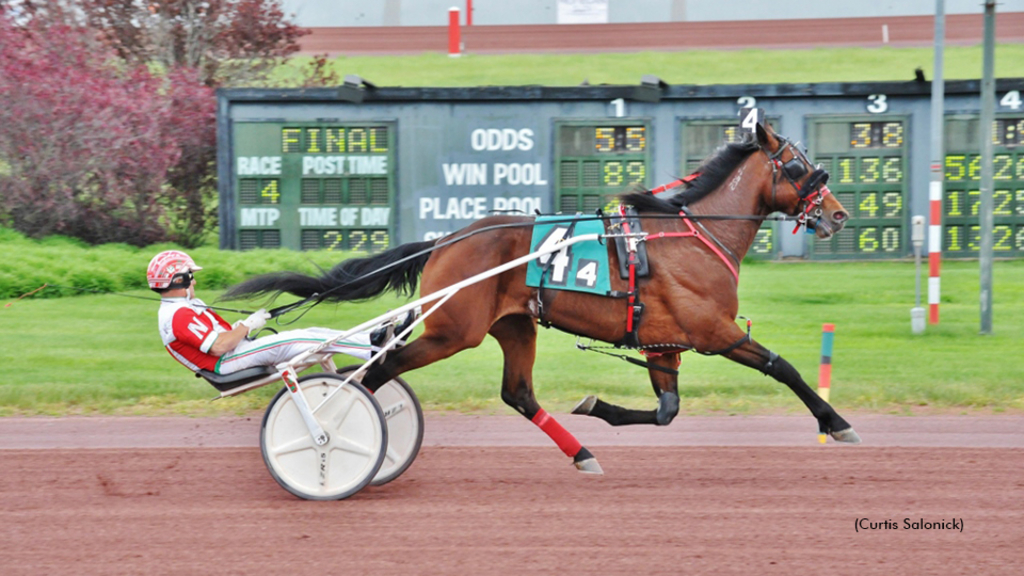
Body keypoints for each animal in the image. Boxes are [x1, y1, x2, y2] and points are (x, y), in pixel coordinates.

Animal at [226, 119, 864, 471]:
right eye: (800, 165)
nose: (838, 214)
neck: (693, 236)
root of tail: (444, 241)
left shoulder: (664, 344)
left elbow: (666, 411)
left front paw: (597, 406)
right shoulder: (713, 332)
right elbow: (783, 368)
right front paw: (836, 422)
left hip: (514, 324)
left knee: (517, 392)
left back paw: (582, 454)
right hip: (453, 330)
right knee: (377, 372)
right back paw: (335, 439)